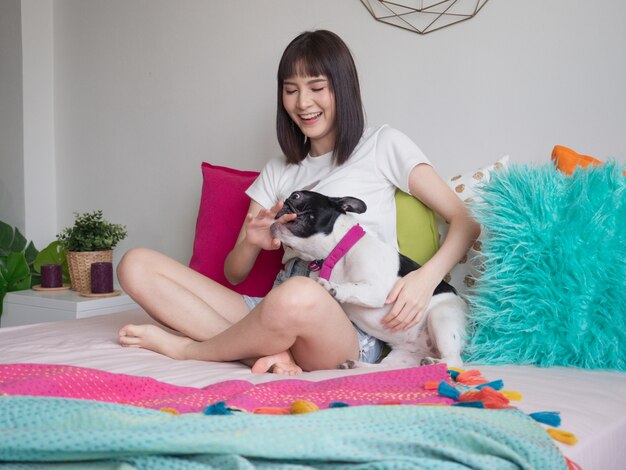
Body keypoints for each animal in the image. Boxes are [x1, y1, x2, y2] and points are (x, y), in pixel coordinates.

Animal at [270, 190, 466, 368]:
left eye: (296, 196)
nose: (282, 203)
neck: (334, 253)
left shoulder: (376, 290)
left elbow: (351, 286)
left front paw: (332, 287)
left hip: (441, 318)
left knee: (454, 361)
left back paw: (434, 362)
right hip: (402, 355)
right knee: (386, 368)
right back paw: (356, 365)